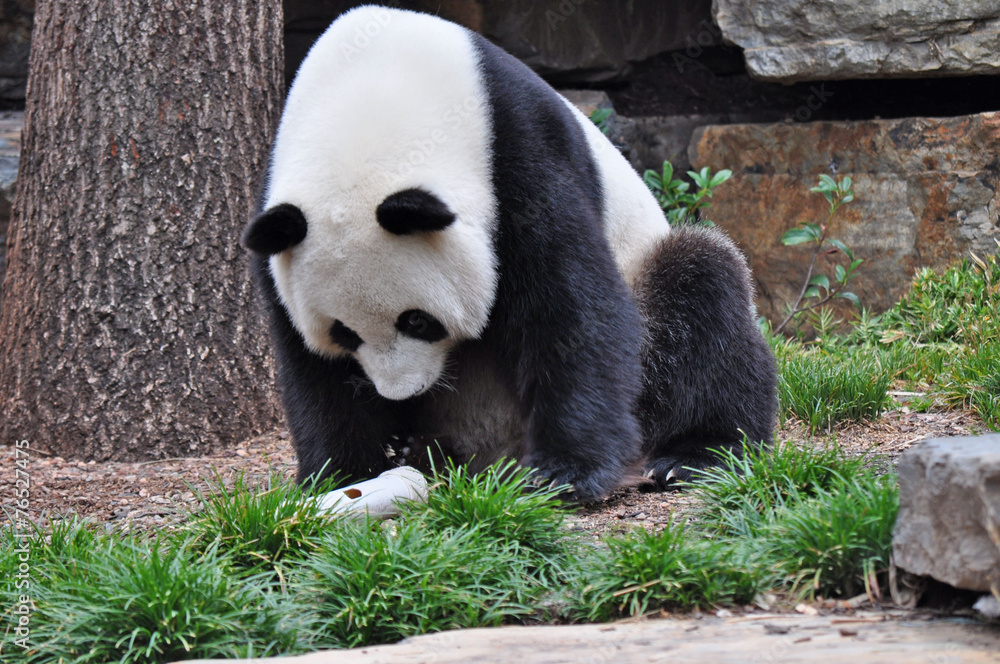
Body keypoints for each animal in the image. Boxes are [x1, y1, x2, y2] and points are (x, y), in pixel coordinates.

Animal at [242, 6, 778, 502]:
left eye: (417, 321)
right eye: (344, 333)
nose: (403, 392)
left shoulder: (516, 148)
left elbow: (570, 306)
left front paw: (567, 471)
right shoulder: (276, 225)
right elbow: (309, 366)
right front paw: (344, 474)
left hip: (649, 293)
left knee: (703, 288)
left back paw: (693, 454)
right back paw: (423, 450)